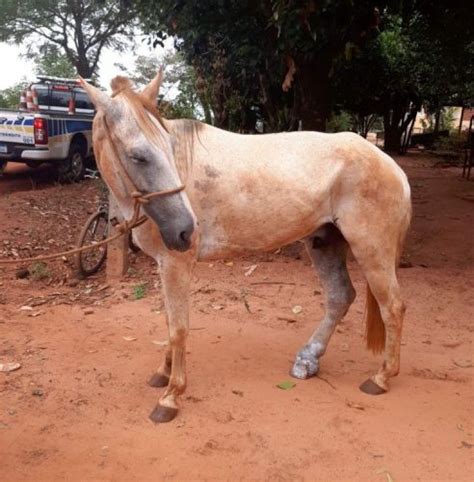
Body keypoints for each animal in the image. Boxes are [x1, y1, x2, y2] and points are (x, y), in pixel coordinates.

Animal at [78, 70, 412, 422]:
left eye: (169, 148)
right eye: (137, 156)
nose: (185, 230)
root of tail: (390, 165)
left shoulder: (176, 263)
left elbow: (179, 328)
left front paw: (171, 396)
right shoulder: (164, 264)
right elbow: (169, 321)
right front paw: (163, 373)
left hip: (371, 249)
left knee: (393, 306)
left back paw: (381, 377)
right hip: (324, 242)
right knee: (340, 297)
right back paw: (308, 359)